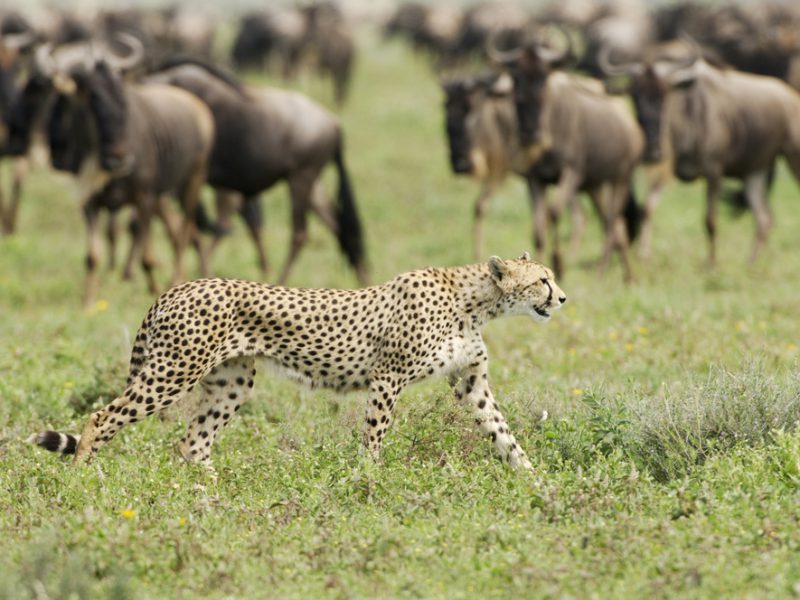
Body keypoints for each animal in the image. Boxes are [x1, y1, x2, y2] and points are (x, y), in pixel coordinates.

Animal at [31, 252, 564, 468]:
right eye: (542, 279)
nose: (562, 298)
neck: (474, 301)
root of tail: (179, 286)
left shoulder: (470, 382)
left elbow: (505, 434)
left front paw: (535, 482)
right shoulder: (387, 377)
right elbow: (374, 437)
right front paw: (370, 483)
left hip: (231, 382)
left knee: (192, 444)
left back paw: (211, 499)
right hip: (174, 371)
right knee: (102, 417)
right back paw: (86, 480)